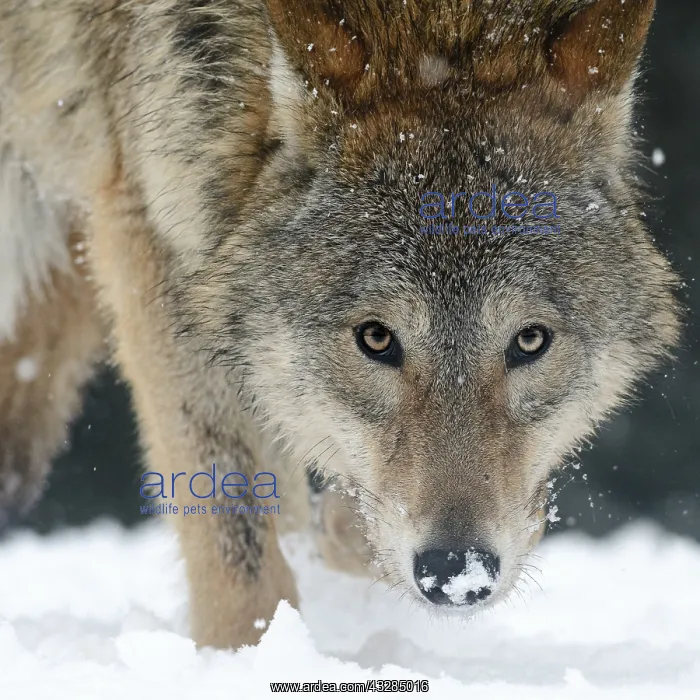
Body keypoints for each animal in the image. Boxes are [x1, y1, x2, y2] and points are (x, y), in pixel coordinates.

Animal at [0, 0, 680, 648]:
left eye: (529, 341)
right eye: (376, 338)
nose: (455, 572)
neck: (438, 18)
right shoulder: (152, 222)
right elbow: (234, 527)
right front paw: (247, 657)